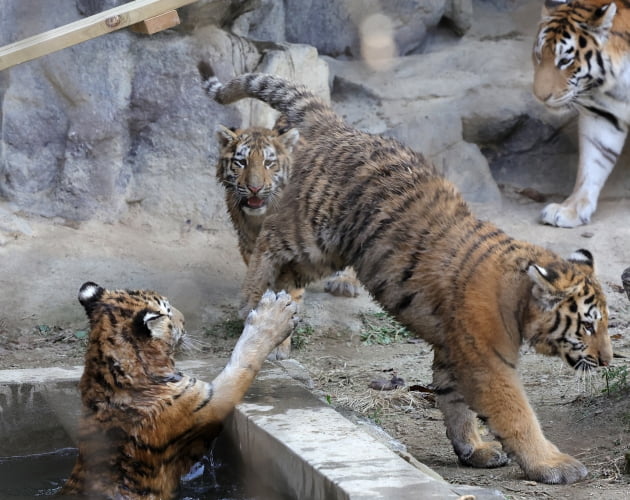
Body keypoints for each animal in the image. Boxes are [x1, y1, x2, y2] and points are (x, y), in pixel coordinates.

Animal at [200, 64, 616, 482]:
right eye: (587, 326)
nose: (608, 362)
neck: (519, 303)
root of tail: (343, 129)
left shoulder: (453, 349)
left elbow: (454, 401)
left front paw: (474, 449)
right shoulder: (488, 364)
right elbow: (518, 415)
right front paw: (554, 464)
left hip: (328, 254)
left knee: (287, 273)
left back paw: (280, 315)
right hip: (311, 231)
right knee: (267, 239)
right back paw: (252, 302)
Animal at [532, 0, 630, 227]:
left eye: (565, 61)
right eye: (539, 56)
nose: (540, 96)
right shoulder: (602, 115)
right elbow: (593, 164)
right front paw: (570, 209)